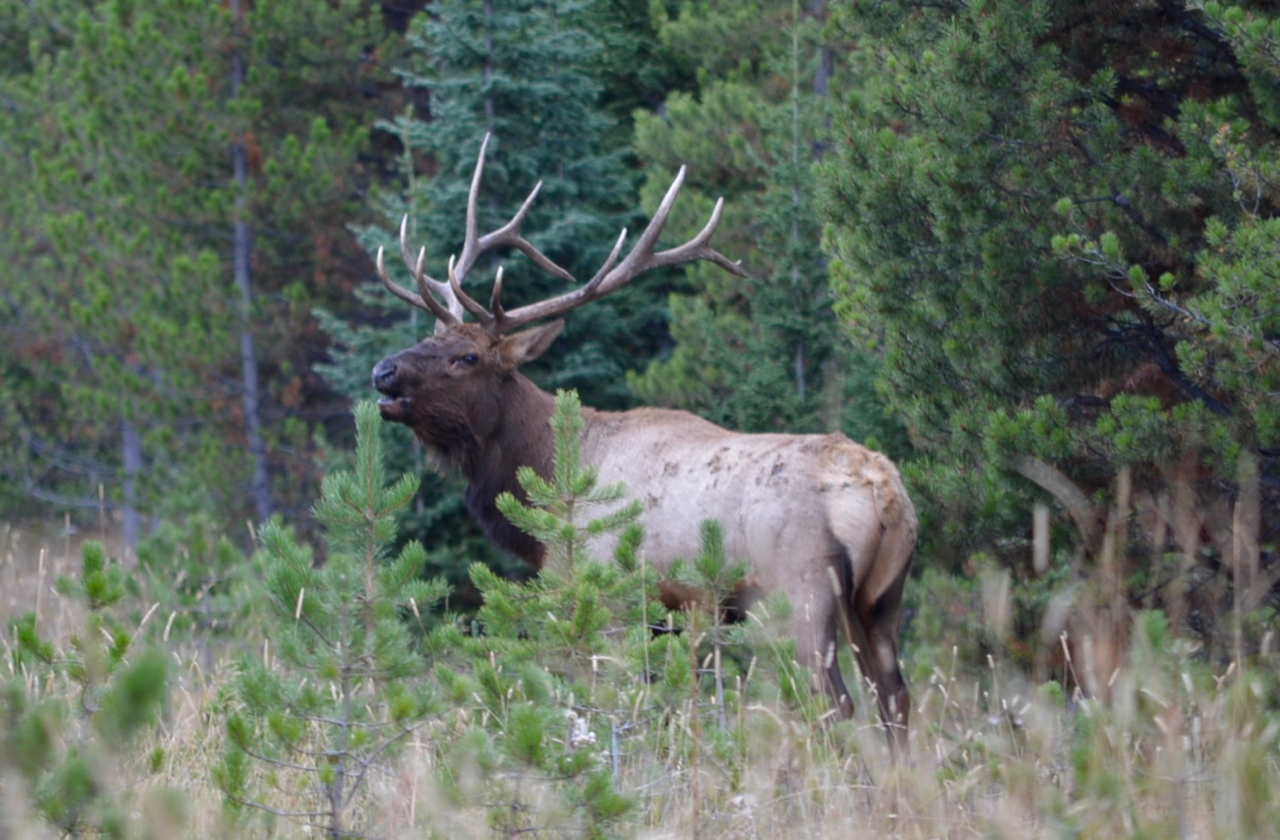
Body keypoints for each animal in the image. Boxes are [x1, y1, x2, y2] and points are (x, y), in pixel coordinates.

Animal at [371, 136, 921, 752]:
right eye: (431, 336)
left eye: (466, 357)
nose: (383, 371)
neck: (546, 483)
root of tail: (883, 490)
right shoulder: (671, 616)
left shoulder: (607, 596)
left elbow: (605, 701)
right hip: (881, 598)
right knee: (894, 697)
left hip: (798, 592)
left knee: (833, 703)